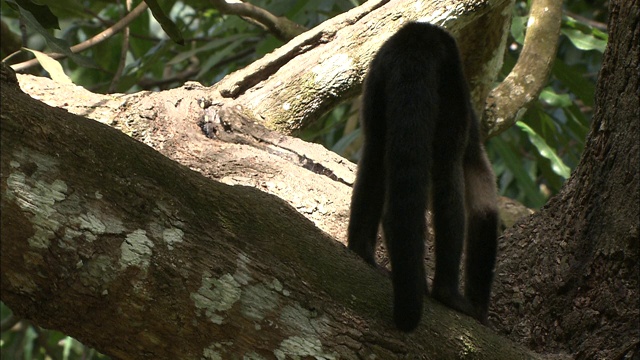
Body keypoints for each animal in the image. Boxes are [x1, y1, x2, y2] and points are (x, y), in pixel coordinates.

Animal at [348, 21, 498, 332]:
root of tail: (414, 42)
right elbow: (483, 204)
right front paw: (479, 306)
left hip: (378, 81)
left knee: (375, 151)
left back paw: (361, 250)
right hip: (448, 92)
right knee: (447, 169)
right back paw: (447, 293)